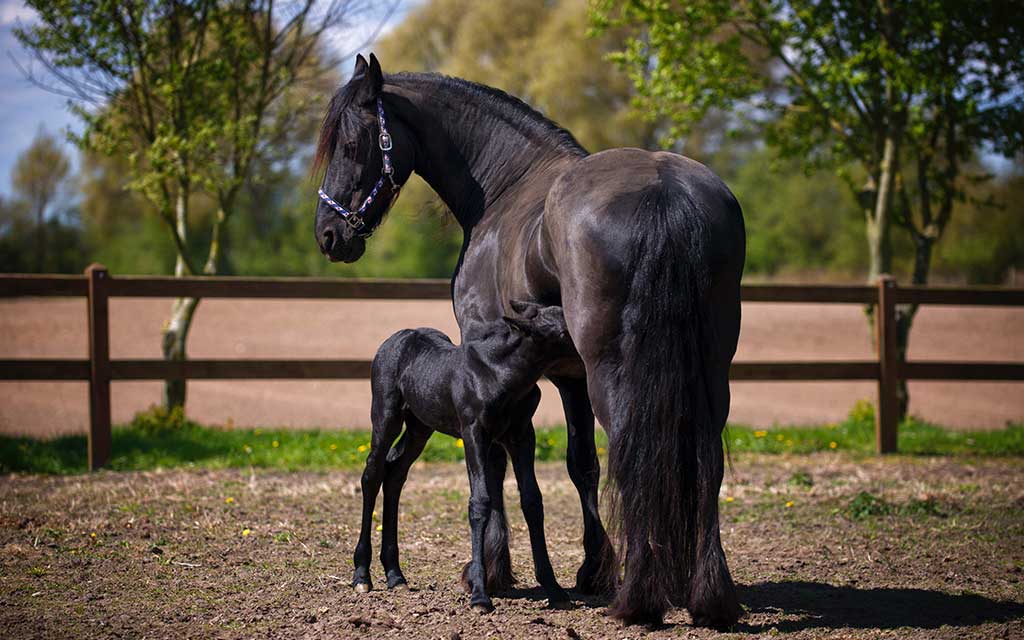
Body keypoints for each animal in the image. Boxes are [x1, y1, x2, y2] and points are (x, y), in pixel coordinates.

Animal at [352, 301, 577, 610]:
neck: (500, 374)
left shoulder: (522, 436)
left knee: (395, 472)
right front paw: (480, 595)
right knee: (372, 474)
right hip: (386, 416)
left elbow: (532, 501)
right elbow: (480, 502)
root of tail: (394, 339)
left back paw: (395, 575)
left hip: (420, 426)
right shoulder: (474, 433)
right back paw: (362, 575)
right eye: (563, 330)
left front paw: (554, 588)